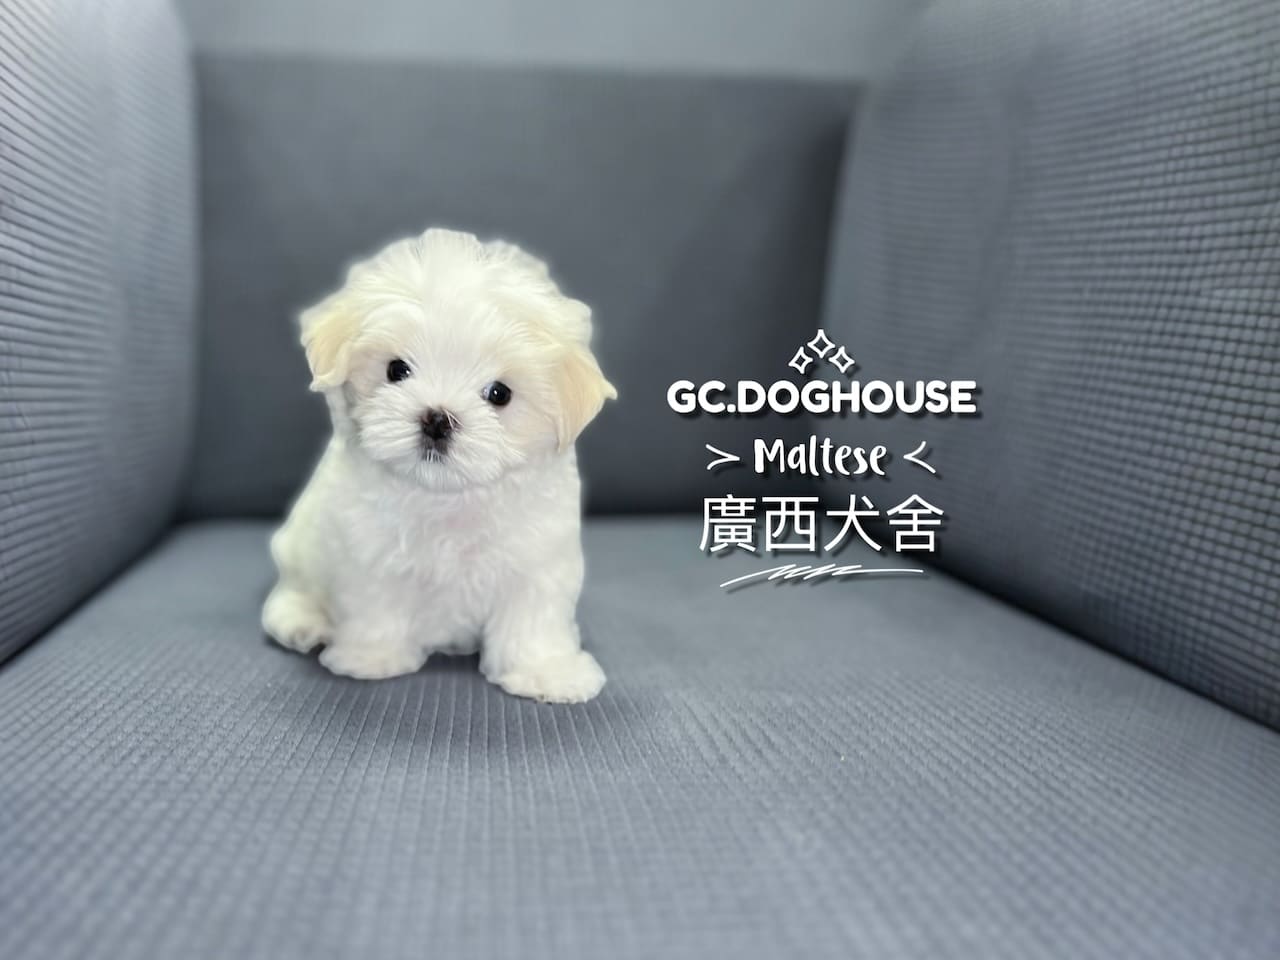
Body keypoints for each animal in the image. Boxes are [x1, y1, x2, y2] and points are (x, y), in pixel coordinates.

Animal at [262, 228, 616, 703]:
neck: (448, 498)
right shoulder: (367, 550)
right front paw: (372, 657)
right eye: (397, 369)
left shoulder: (537, 560)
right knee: (293, 588)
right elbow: (377, 603)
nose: (436, 418)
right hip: (300, 545)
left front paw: (546, 672)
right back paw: (303, 620)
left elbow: (533, 619)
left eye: (499, 393)